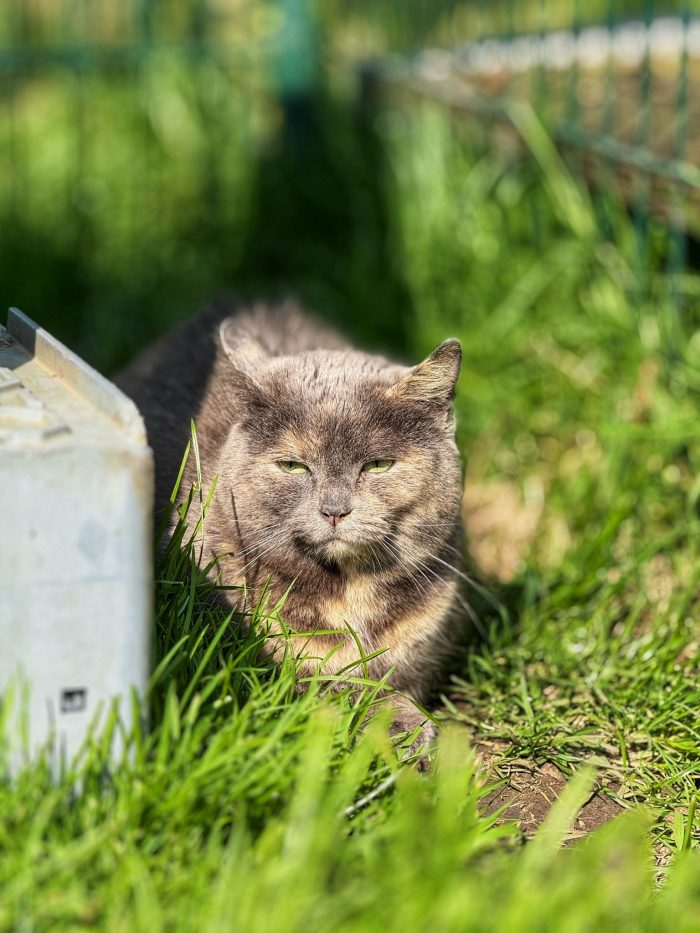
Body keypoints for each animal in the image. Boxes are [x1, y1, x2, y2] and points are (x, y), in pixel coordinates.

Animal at [118, 298, 466, 749]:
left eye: (377, 465)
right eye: (292, 466)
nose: (335, 509)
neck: (349, 592)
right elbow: (327, 685)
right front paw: (392, 724)